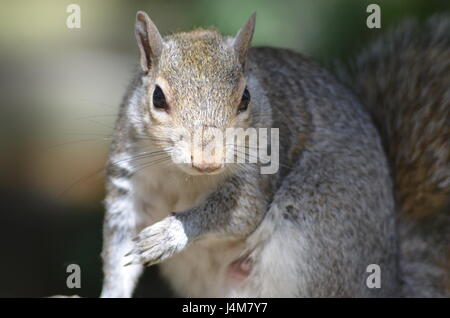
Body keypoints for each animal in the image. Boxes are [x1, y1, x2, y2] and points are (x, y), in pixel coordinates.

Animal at [100, 10, 448, 298]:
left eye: (245, 98)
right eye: (157, 97)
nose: (207, 161)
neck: (181, 175)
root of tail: (391, 278)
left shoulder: (257, 176)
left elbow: (240, 213)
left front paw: (171, 234)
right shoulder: (128, 182)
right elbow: (118, 248)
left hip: (318, 225)